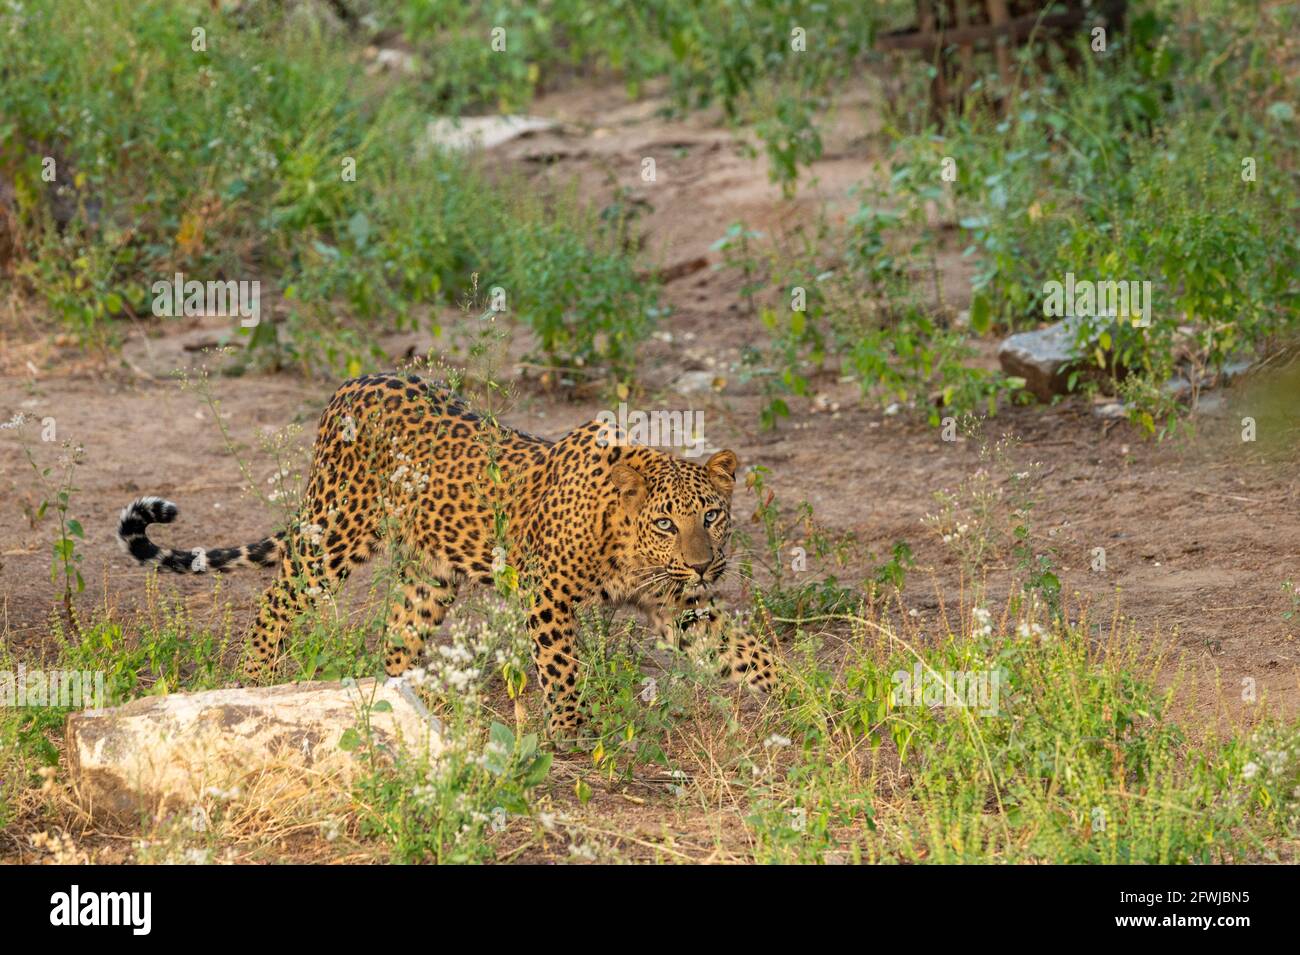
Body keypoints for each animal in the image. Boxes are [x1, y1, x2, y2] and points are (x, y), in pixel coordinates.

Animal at [116, 374, 769, 738]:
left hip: (428, 577)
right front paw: (571, 731)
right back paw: (256, 681)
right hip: (335, 535)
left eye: (712, 515)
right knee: (277, 599)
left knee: (397, 636)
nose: (705, 564)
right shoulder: (549, 595)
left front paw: (795, 695)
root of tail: (349, 386)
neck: (632, 547)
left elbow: (747, 652)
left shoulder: (681, 607)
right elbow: (561, 668)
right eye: (665, 522)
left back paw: (405, 703)